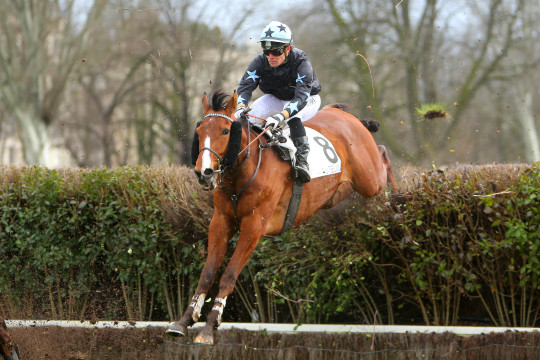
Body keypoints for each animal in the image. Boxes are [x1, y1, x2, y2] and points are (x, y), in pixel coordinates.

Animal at [167, 90, 398, 344]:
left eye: (226, 131)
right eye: (199, 132)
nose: (204, 172)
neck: (244, 170)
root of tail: (346, 115)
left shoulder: (254, 226)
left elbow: (229, 275)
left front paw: (209, 328)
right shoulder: (221, 221)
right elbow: (207, 274)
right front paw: (184, 321)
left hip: (369, 180)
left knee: (384, 156)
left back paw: (395, 198)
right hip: (337, 192)